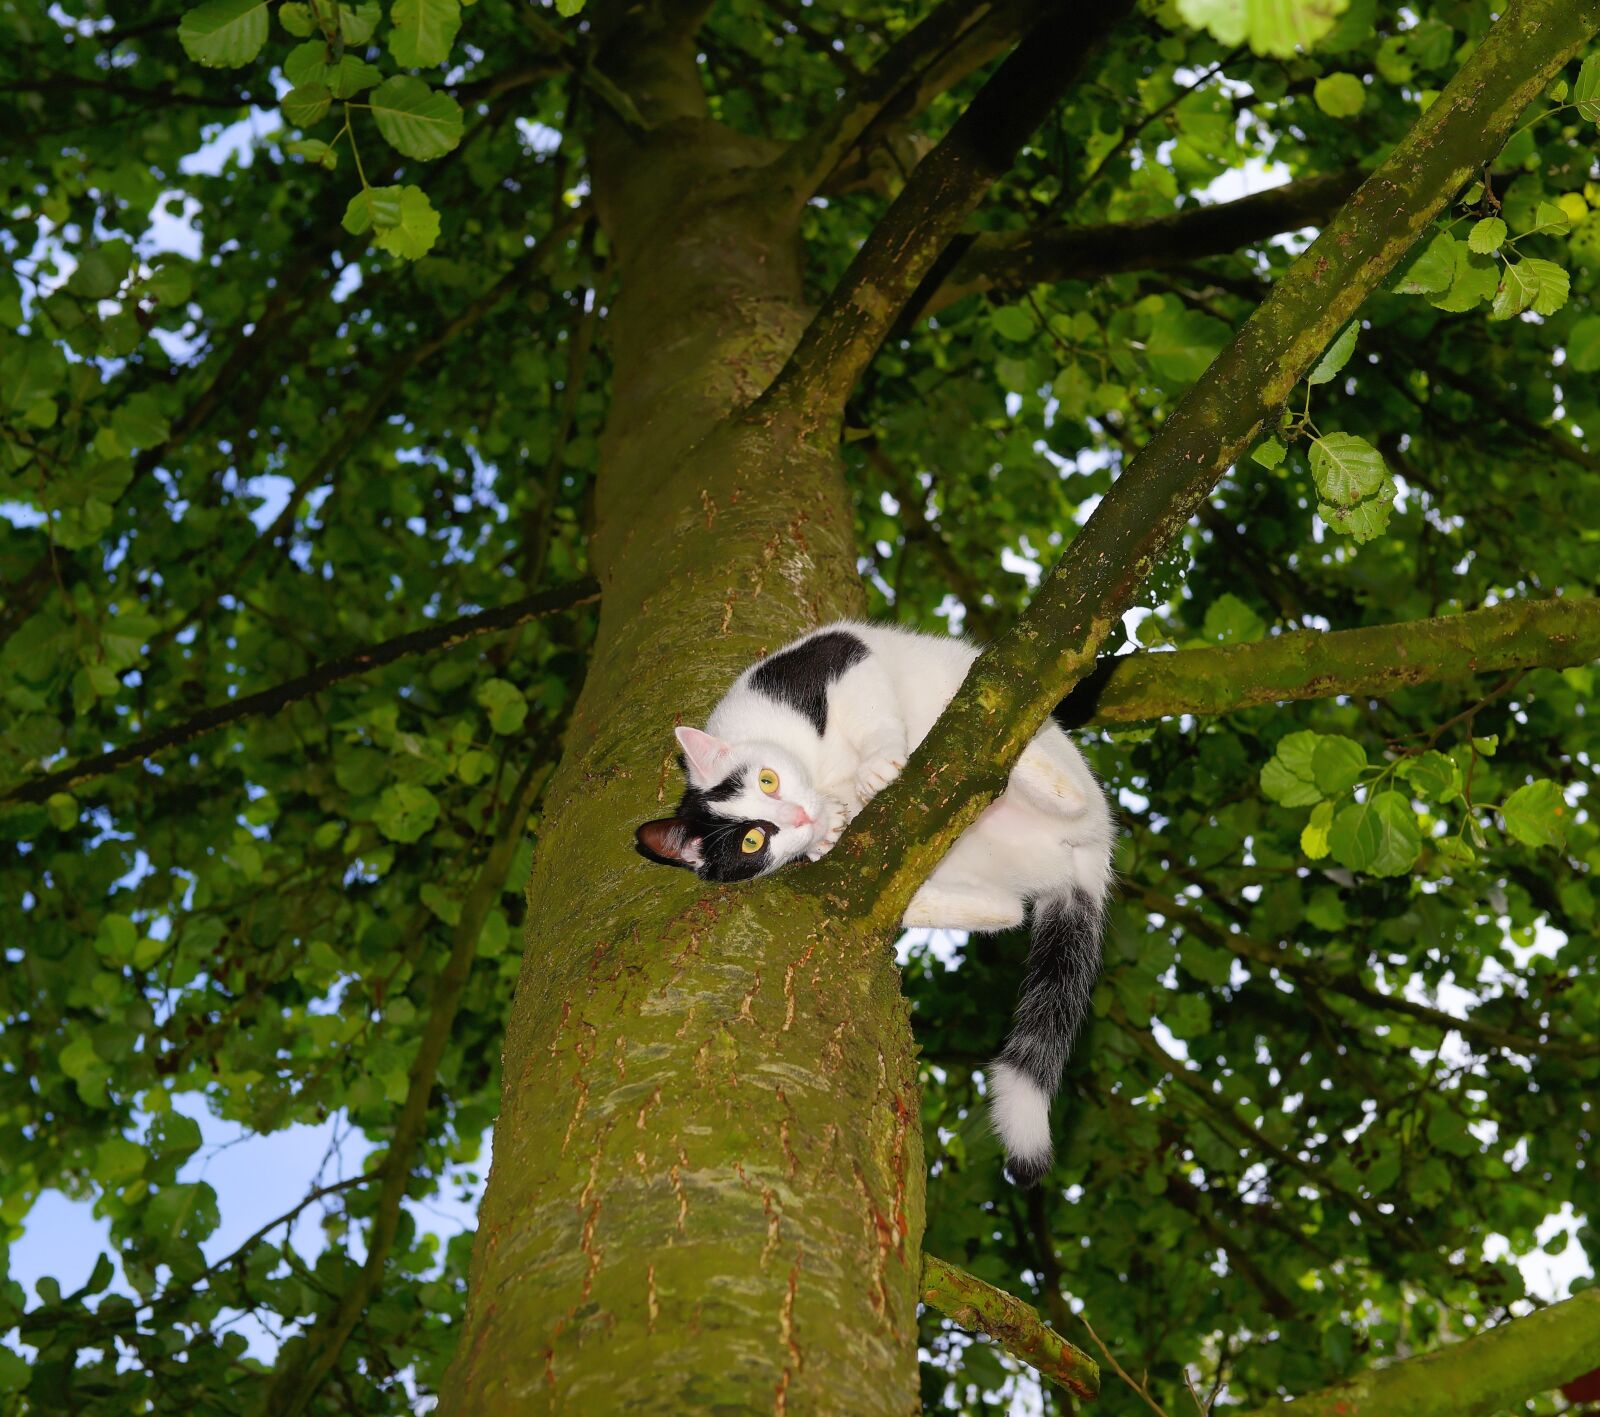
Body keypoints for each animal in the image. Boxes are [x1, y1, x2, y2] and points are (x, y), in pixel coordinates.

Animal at [627, 620, 1113, 1189]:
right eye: (752, 841)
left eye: (768, 779)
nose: (797, 817)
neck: (821, 777)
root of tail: (1087, 855)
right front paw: (826, 836)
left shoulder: (835, 656)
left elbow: (869, 708)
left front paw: (877, 767)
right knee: (1006, 908)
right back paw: (920, 897)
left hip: (1060, 771)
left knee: (1066, 791)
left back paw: (1012, 753)